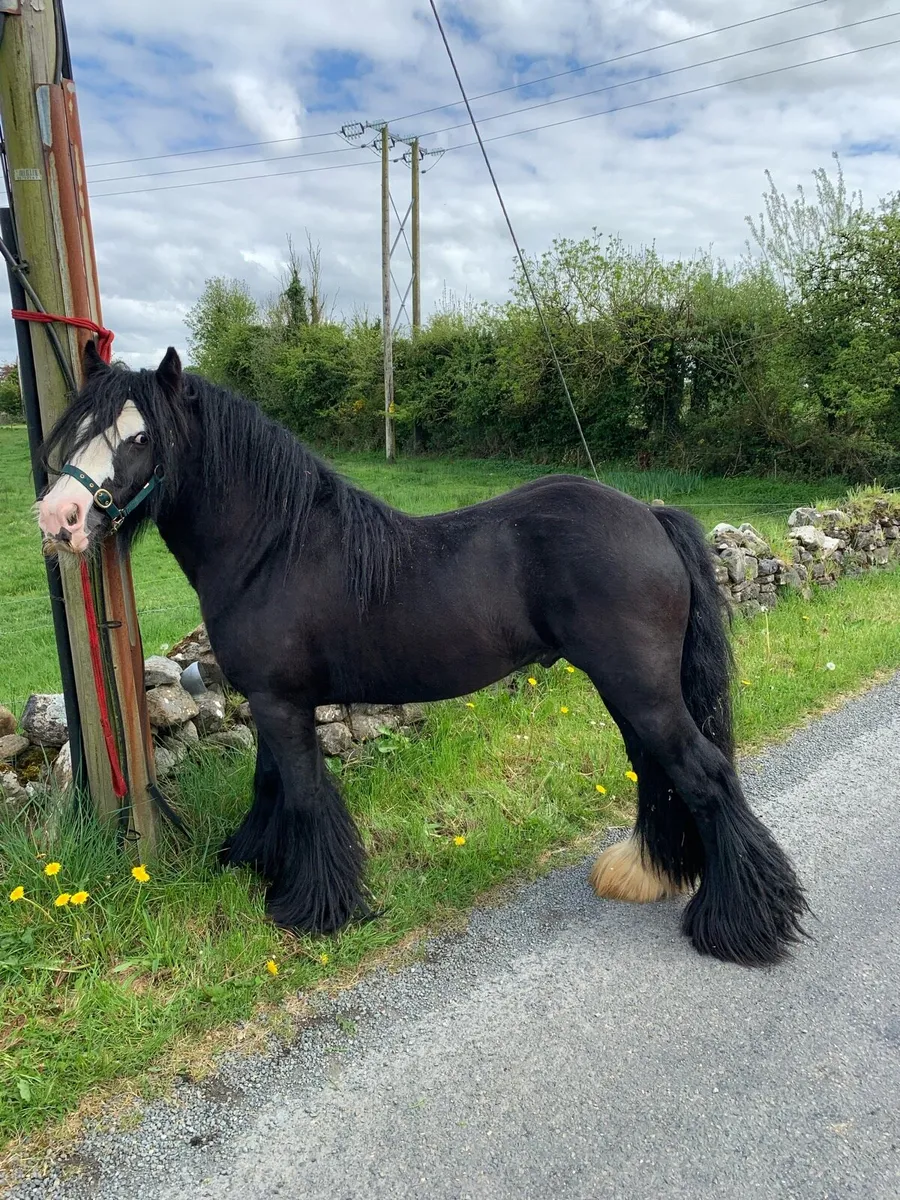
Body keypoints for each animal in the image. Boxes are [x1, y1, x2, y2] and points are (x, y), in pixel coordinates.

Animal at [35, 341, 809, 968]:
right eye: (78, 429)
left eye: (140, 436)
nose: (56, 520)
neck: (275, 546)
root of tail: (647, 514)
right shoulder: (272, 700)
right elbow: (271, 787)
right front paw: (257, 865)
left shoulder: (281, 703)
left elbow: (305, 795)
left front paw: (315, 910)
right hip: (630, 688)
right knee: (657, 769)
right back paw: (650, 874)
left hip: (639, 685)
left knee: (703, 774)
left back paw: (740, 924)